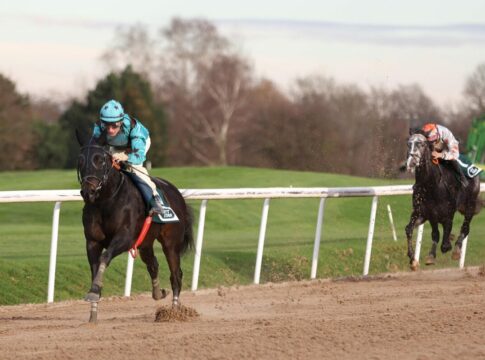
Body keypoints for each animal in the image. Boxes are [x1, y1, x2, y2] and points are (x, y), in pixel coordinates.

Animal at [76, 131, 192, 320]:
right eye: (80, 160)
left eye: (100, 159)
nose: (88, 191)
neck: (106, 201)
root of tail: (178, 194)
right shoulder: (92, 241)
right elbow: (95, 269)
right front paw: (93, 308)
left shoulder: (126, 238)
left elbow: (105, 257)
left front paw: (94, 293)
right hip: (145, 243)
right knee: (153, 264)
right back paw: (158, 293)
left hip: (171, 243)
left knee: (176, 275)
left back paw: (174, 312)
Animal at [402, 130, 478, 270]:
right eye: (409, 144)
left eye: (421, 144)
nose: (412, 162)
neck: (431, 185)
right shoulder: (424, 213)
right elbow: (411, 230)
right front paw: (414, 259)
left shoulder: (447, 213)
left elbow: (444, 241)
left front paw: (446, 246)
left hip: (470, 205)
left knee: (465, 228)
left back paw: (456, 250)